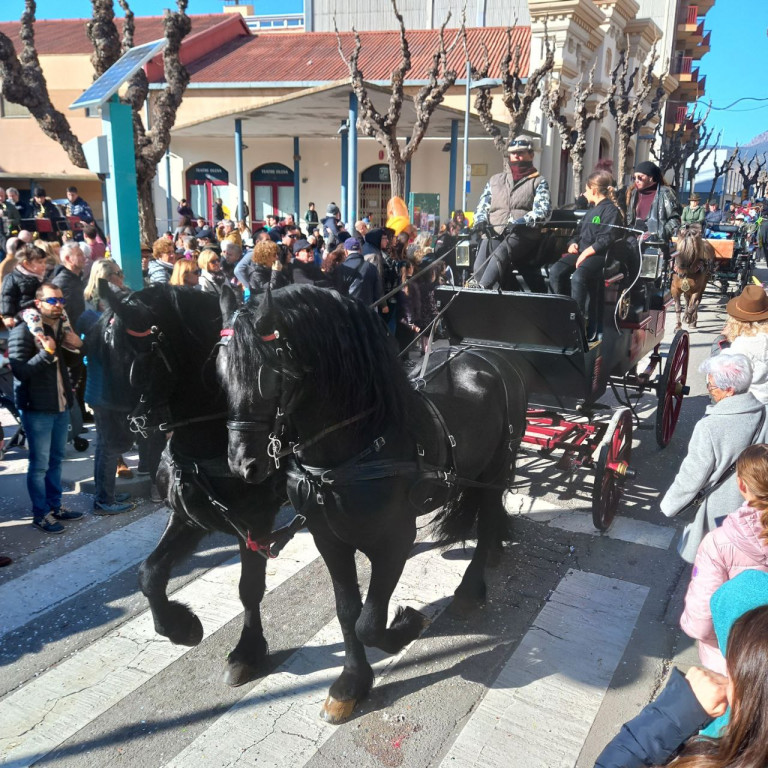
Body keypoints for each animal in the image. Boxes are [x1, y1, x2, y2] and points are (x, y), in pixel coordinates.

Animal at [99, 282, 284, 684]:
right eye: (100, 353)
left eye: (134, 360)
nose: (110, 438)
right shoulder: (189, 517)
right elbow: (149, 574)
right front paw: (181, 628)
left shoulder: (256, 522)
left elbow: (249, 589)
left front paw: (246, 652)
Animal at [219, 284, 524, 724]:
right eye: (221, 372)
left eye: (269, 375)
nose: (243, 464)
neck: (355, 448)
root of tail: (491, 354)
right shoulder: (328, 539)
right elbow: (348, 611)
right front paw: (351, 684)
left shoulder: (394, 541)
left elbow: (370, 622)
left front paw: (407, 624)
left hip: (496, 465)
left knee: (485, 517)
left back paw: (472, 584)